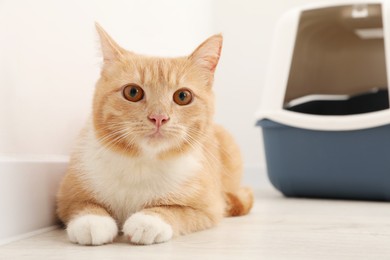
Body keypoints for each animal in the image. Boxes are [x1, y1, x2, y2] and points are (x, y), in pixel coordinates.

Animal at [56, 22, 254, 246]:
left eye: (183, 96)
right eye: (132, 92)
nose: (159, 117)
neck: (142, 163)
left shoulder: (210, 207)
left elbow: (177, 211)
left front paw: (148, 221)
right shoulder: (66, 194)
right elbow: (82, 204)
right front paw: (92, 221)